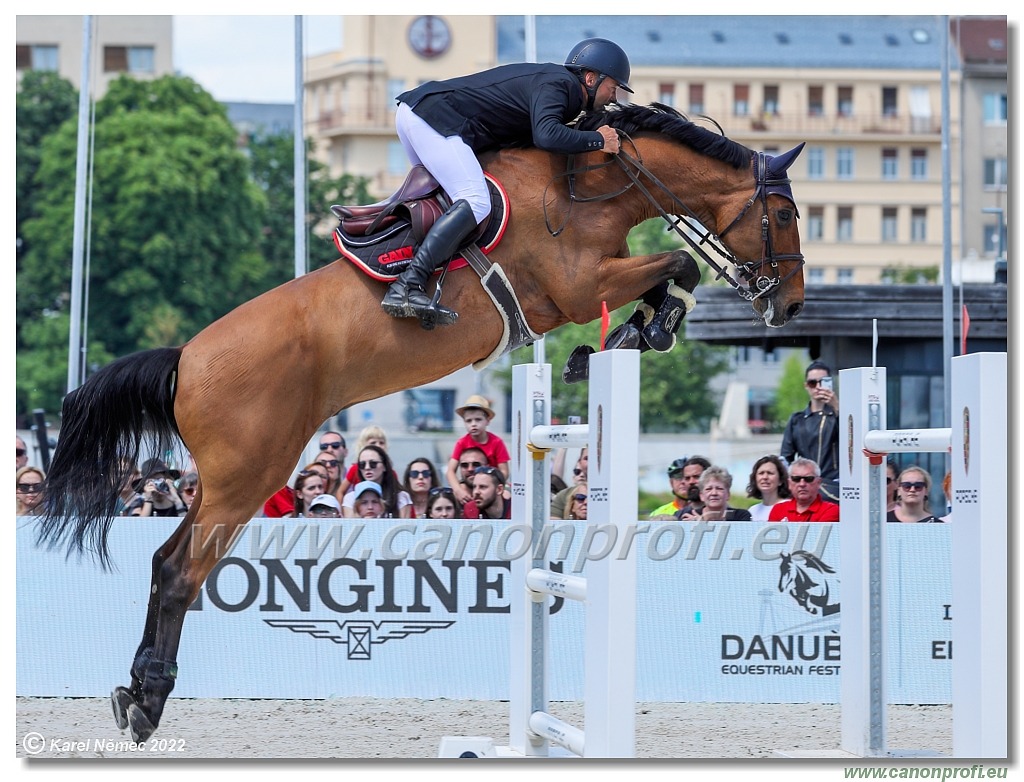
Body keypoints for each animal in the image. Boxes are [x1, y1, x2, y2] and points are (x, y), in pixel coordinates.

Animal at [37, 102, 806, 741]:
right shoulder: (580, 285)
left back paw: (133, 693)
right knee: (179, 573)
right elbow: (679, 264)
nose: (792, 305)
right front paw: (639, 333)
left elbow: (672, 271)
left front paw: (616, 342)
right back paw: (148, 704)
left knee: (164, 561)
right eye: (785, 217)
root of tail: (186, 359)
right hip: (249, 477)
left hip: (228, 481)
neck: (588, 187)